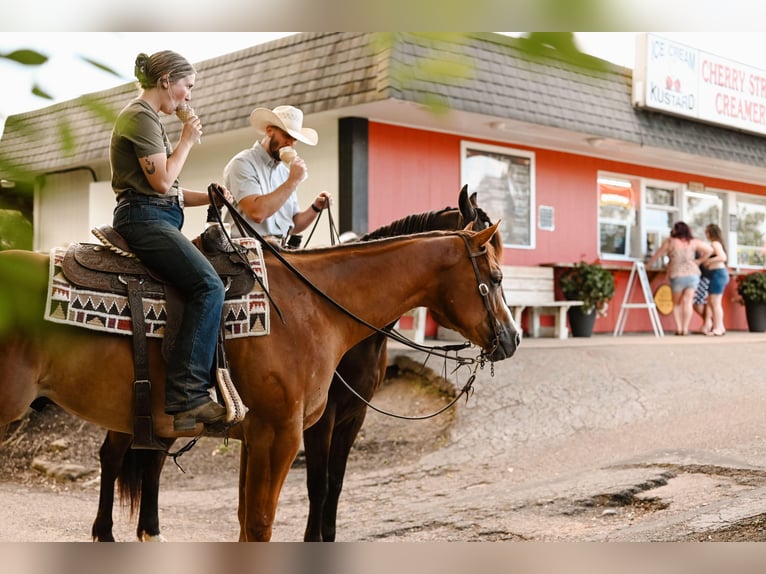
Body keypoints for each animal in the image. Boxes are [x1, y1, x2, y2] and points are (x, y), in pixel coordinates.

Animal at [0, 223, 520, 544]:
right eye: (494, 277)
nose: (513, 338)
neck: (312, 307)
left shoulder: (256, 437)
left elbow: (245, 522)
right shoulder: (281, 434)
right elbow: (263, 522)